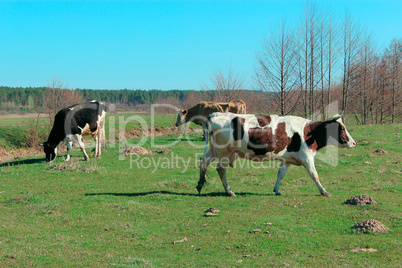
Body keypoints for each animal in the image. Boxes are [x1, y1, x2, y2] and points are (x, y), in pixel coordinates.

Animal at [198, 111, 354, 197]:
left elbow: (280, 174)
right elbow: (314, 175)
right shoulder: (307, 157)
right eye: (342, 128)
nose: (353, 142)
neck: (308, 132)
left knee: (204, 161)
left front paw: (277, 190)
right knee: (221, 169)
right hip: (224, 152)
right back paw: (229, 191)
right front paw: (324, 191)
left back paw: (200, 184)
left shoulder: (287, 159)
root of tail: (215, 114)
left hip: (214, 150)